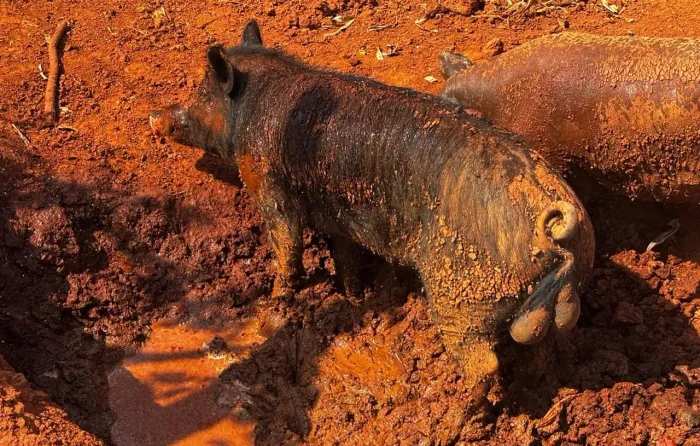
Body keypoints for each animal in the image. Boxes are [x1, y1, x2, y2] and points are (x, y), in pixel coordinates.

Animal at [149, 20, 595, 400]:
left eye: (201, 93)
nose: (156, 115)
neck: (250, 110)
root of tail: (556, 238)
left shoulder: (266, 180)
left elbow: (286, 245)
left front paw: (271, 309)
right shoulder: (336, 215)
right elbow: (344, 255)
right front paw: (353, 298)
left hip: (464, 299)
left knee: (481, 363)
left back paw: (458, 411)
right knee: (539, 354)